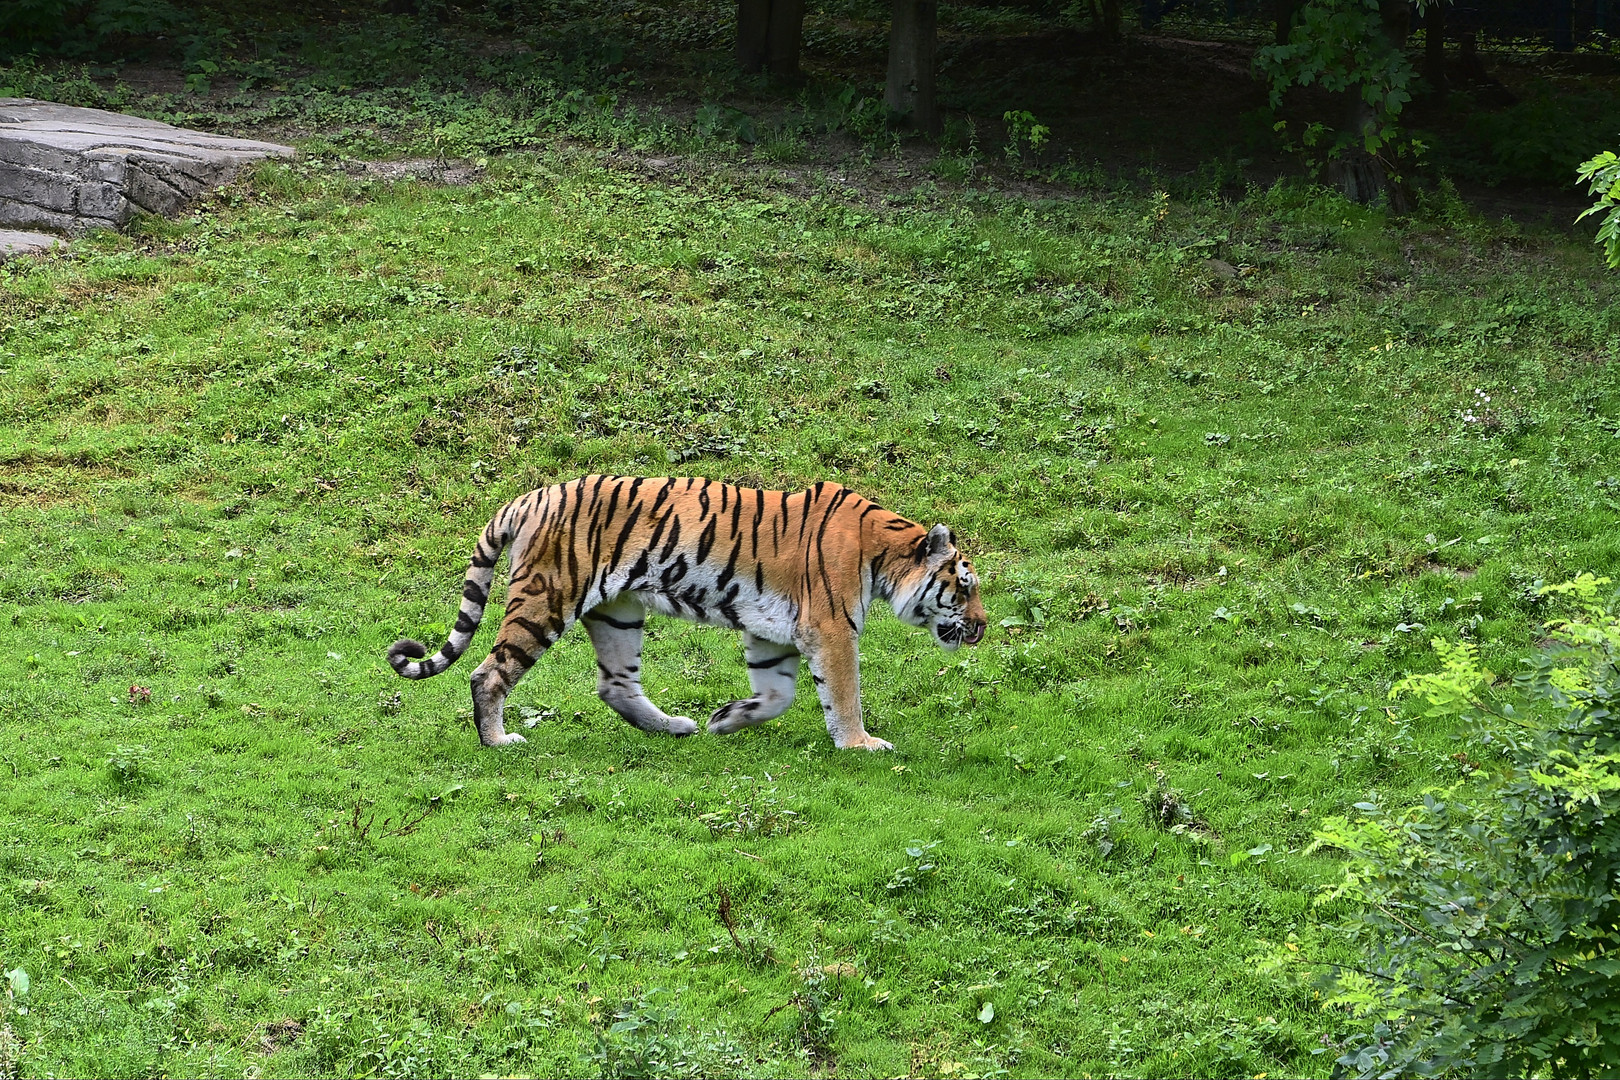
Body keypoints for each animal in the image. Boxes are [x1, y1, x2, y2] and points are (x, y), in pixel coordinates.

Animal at [388, 472, 984, 751]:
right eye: (964, 585)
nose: (980, 627)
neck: (884, 554)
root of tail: (531, 496)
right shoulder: (832, 629)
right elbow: (844, 694)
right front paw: (862, 744)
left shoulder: (775, 633)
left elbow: (778, 695)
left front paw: (728, 719)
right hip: (546, 600)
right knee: (489, 673)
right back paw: (498, 741)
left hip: (619, 612)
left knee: (615, 685)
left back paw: (674, 726)